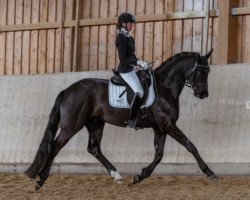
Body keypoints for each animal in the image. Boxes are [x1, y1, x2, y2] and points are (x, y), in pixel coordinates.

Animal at [24, 49, 218, 189]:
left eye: (208, 71)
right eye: (202, 71)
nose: (203, 94)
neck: (165, 87)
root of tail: (67, 90)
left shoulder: (160, 127)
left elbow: (159, 155)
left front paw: (139, 176)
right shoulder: (168, 125)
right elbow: (190, 146)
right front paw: (210, 173)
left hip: (95, 123)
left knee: (94, 148)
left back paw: (117, 175)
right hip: (71, 126)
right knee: (55, 147)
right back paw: (41, 180)